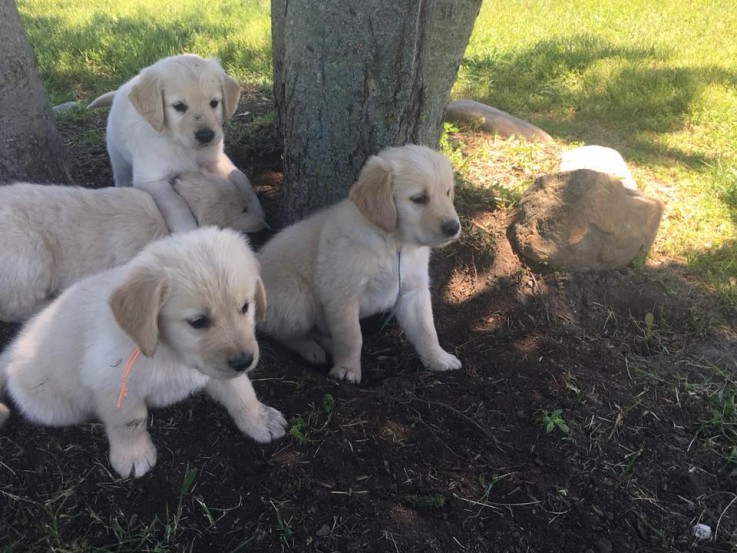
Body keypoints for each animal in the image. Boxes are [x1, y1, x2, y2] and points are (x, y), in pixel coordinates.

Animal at [0, 226, 286, 476]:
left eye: (245, 307)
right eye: (198, 322)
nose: (244, 360)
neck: (169, 352)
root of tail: (13, 348)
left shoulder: (215, 367)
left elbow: (241, 391)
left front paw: (260, 418)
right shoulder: (112, 382)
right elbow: (129, 422)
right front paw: (133, 456)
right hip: (57, 407)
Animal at [89, 56, 268, 235]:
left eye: (214, 103)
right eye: (179, 106)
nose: (206, 136)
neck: (183, 147)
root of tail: (122, 88)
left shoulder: (215, 158)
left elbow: (241, 178)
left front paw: (257, 210)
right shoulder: (152, 179)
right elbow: (176, 206)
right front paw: (189, 232)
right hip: (117, 153)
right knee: (121, 175)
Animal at [258, 144, 460, 382]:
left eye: (447, 192)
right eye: (419, 198)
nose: (453, 228)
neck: (394, 244)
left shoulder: (413, 290)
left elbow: (427, 329)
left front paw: (439, 358)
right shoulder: (343, 293)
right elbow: (351, 336)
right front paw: (347, 369)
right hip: (296, 296)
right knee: (281, 333)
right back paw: (311, 349)